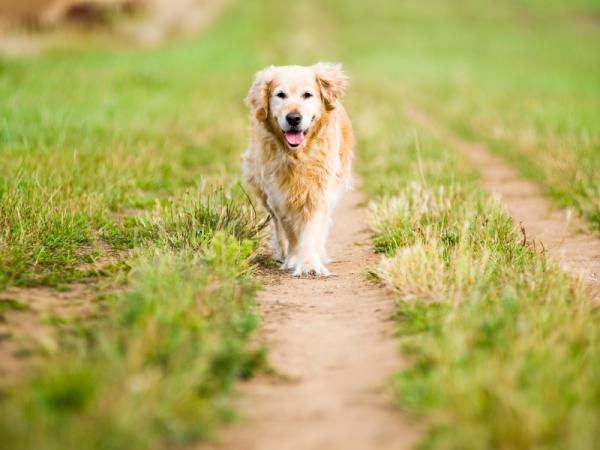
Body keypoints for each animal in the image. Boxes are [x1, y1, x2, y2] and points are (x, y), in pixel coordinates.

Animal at [241, 62, 352, 274]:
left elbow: (312, 228)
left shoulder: (318, 191)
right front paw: (293, 259)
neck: (297, 155)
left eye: (307, 95)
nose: (293, 117)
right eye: (280, 95)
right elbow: (290, 229)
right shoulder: (279, 194)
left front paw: (309, 263)